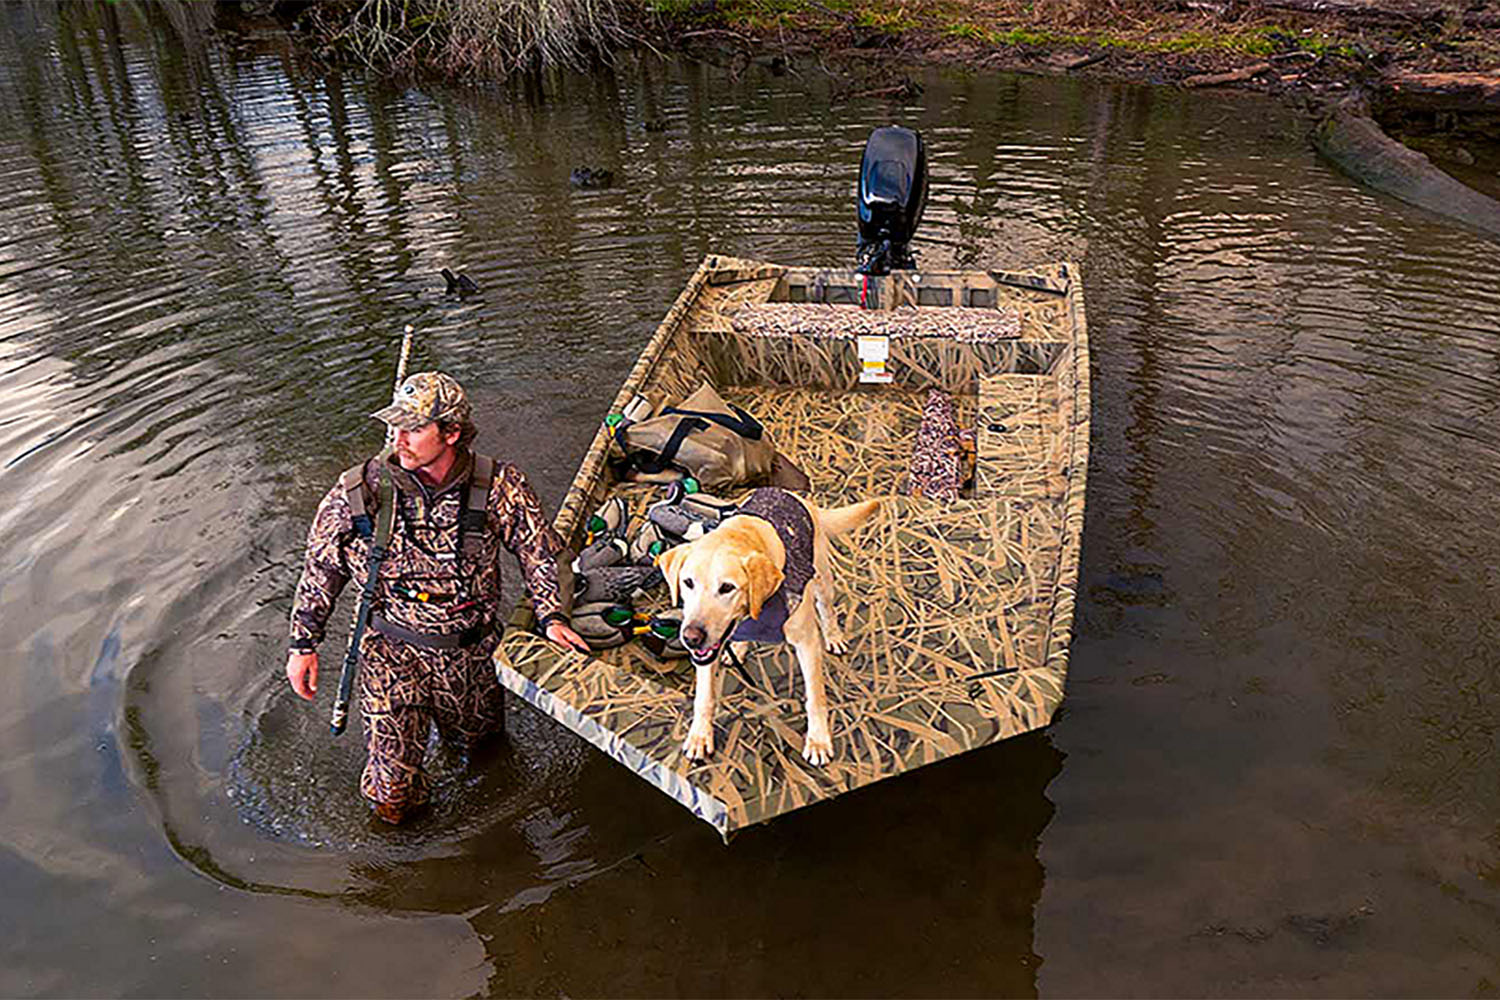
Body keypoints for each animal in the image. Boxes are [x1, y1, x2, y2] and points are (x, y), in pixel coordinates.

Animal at [657, 485, 876, 767]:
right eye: (687, 582)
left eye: (727, 588)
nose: (691, 637)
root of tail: (789, 492)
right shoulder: (707, 653)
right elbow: (704, 697)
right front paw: (700, 736)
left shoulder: (807, 643)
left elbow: (815, 696)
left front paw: (818, 740)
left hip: (822, 578)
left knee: (827, 609)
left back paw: (833, 635)